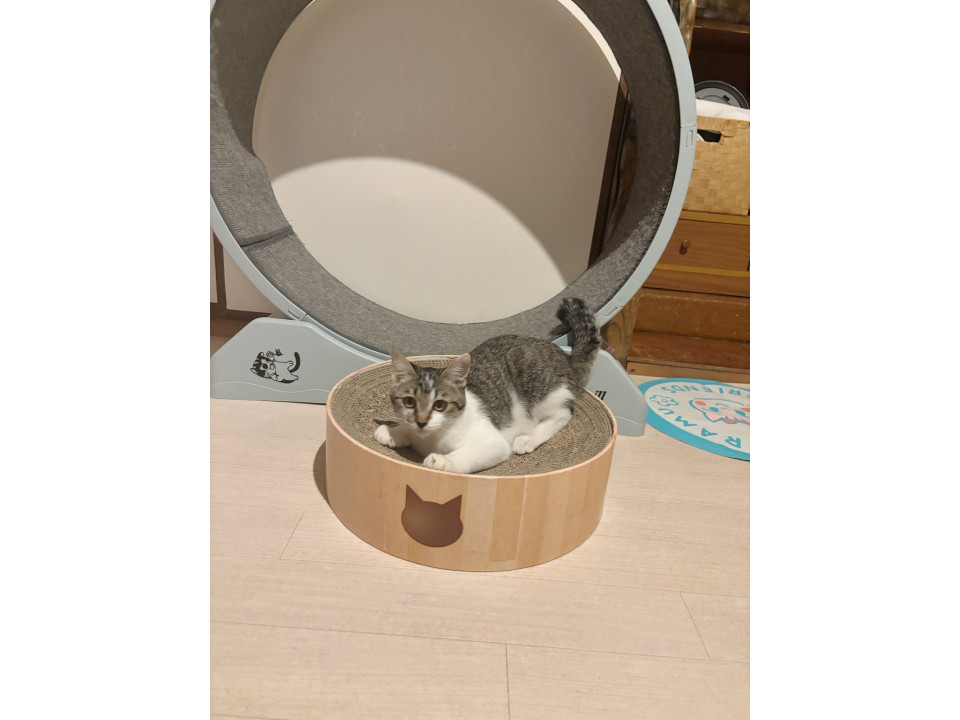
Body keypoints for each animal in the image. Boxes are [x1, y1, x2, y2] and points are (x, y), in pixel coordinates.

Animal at [374, 297, 600, 474]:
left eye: (439, 405)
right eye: (409, 402)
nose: (421, 422)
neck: (433, 437)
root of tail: (566, 357)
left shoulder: (493, 443)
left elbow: (468, 454)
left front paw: (444, 460)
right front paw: (394, 431)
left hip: (542, 388)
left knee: (563, 413)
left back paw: (527, 439)